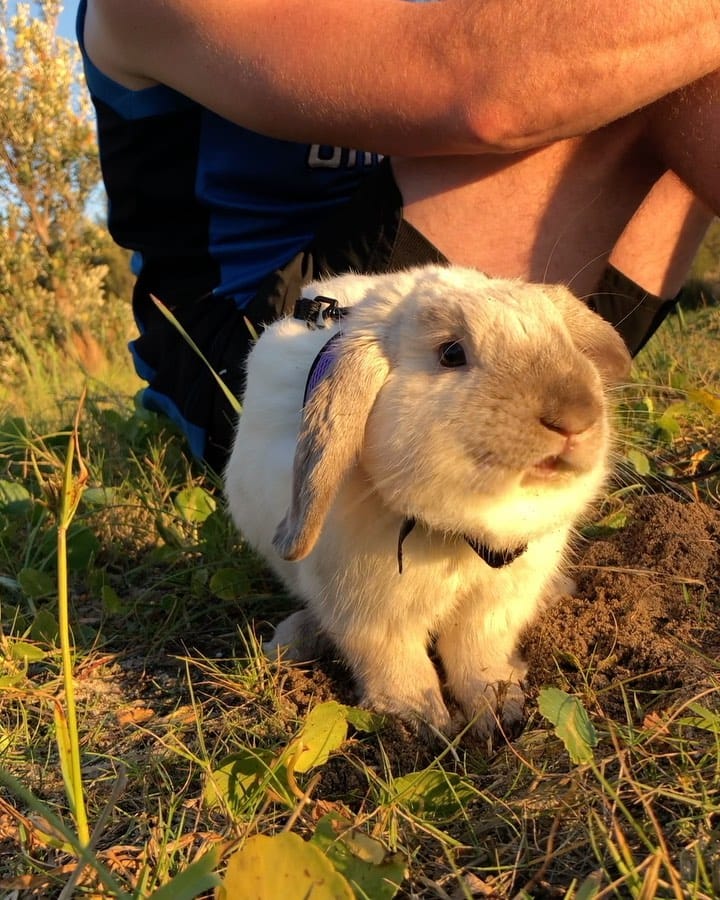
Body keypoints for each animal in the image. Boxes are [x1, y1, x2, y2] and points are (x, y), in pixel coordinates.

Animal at [224, 264, 631, 738]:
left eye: (564, 340)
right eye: (451, 354)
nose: (576, 418)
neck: (463, 533)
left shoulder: (495, 607)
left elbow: (479, 656)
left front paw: (498, 709)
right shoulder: (371, 616)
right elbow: (399, 667)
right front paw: (425, 723)